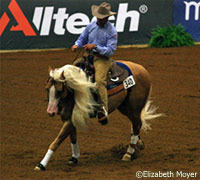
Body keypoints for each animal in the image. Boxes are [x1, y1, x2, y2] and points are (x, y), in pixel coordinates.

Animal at [34, 59, 162, 171]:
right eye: (47, 89)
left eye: (60, 90)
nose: (50, 112)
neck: (76, 89)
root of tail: (142, 69)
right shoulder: (71, 118)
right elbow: (72, 137)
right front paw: (74, 158)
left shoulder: (73, 118)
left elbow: (56, 141)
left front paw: (41, 165)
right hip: (125, 107)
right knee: (136, 124)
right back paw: (138, 144)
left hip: (133, 107)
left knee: (136, 124)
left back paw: (128, 153)